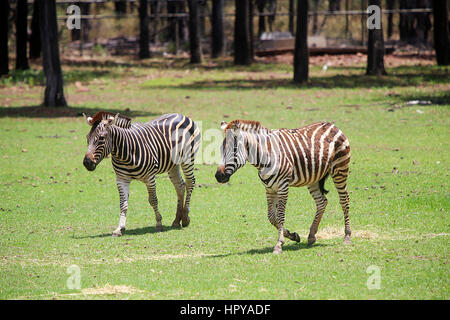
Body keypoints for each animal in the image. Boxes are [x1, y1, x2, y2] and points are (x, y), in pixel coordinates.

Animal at [214, 119, 352, 254]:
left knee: (344, 200)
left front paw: (279, 244)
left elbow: (280, 215)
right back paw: (312, 235)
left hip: (340, 169)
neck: (265, 157)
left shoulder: (283, 187)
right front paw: (293, 235)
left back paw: (347, 237)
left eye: (234, 149)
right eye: (221, 149)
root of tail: (332, 125)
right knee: (322, 202)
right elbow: (271, 217)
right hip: (313, 178)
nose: (218, 176)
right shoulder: (269, 188)